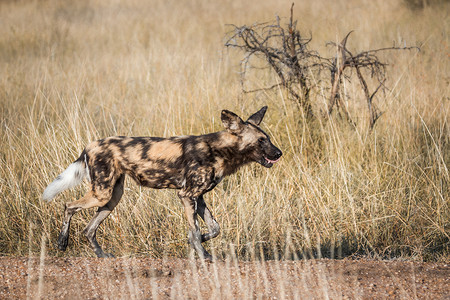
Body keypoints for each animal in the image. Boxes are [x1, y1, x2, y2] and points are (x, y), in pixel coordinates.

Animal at [42, 106, 282, 258]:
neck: (219, 150)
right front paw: (203, 255)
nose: (279, 153)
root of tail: (90, 145)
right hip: (101, 194)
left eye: (268, 139)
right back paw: (62, 243)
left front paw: (200, 244)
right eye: (262, 141)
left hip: (112, 197)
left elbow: (214, 228)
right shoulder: (187, 195)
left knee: (89, 229)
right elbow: (195, 231)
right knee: (68, 206)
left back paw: (102, 255)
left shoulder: (198, 197)